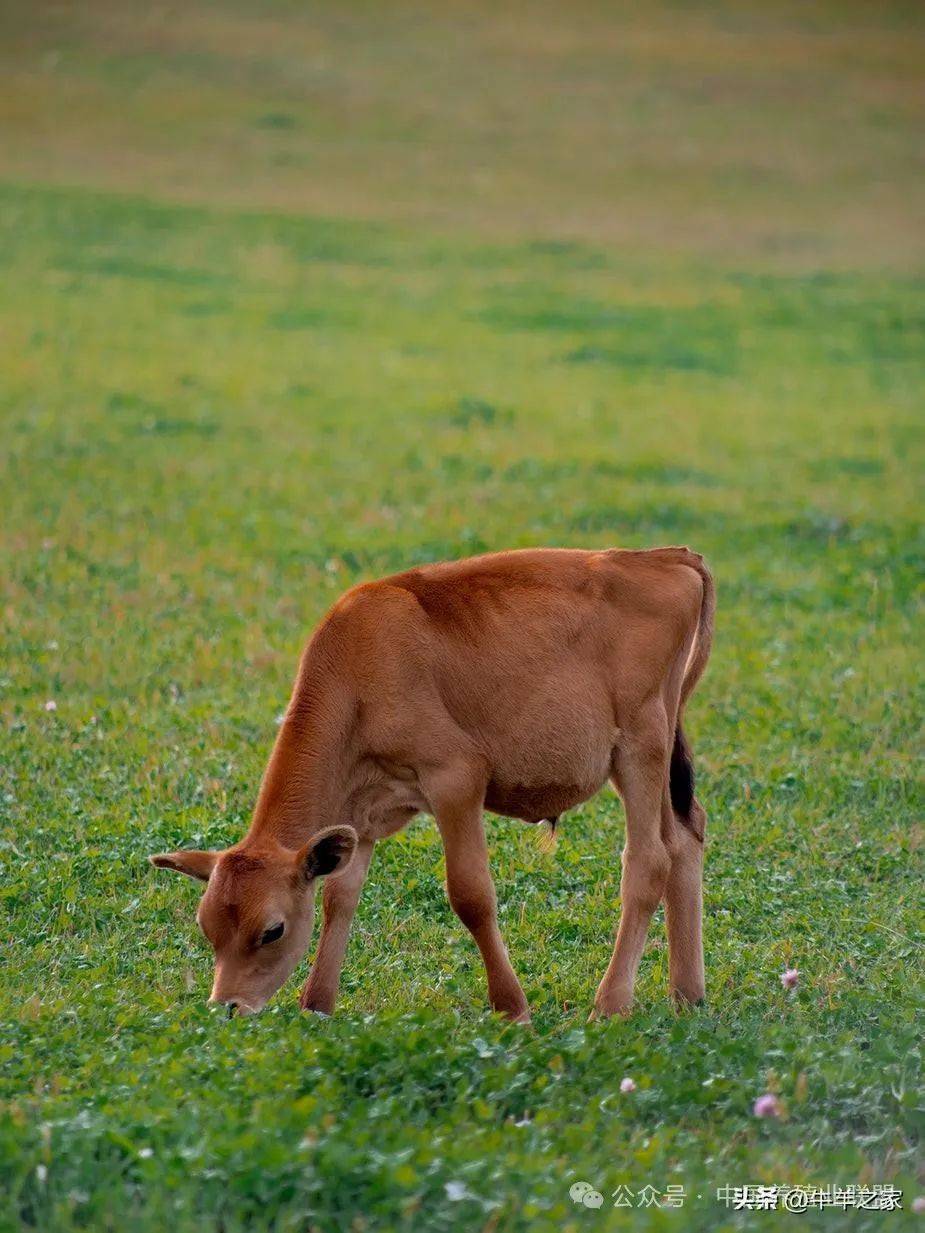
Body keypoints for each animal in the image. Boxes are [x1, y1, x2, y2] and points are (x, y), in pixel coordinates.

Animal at [154, 547, 715, 1020]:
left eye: (272, 931)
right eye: (207, 927)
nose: (226, 1006)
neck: (358, 668)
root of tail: (666, 557)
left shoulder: (455, 779)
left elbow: (470, 894)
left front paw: (512, 1008)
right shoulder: (362, 813)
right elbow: (340, 896)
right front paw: (317, 1004)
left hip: (640, 745)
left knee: (649, 860)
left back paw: (610, 1004)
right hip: (661, 753)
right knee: (684, 837)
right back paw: (687, 993)